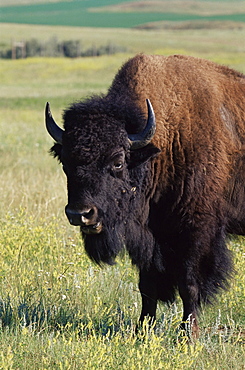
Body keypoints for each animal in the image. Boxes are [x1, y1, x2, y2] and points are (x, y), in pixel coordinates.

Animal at [45, 55, 245, 336]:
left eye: (118, 162)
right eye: (65, 162)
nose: (80, 214)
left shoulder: (197, 230)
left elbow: (189, 284)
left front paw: (187, 336)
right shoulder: (149, 235)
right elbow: (147, 286)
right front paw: (141, 331)